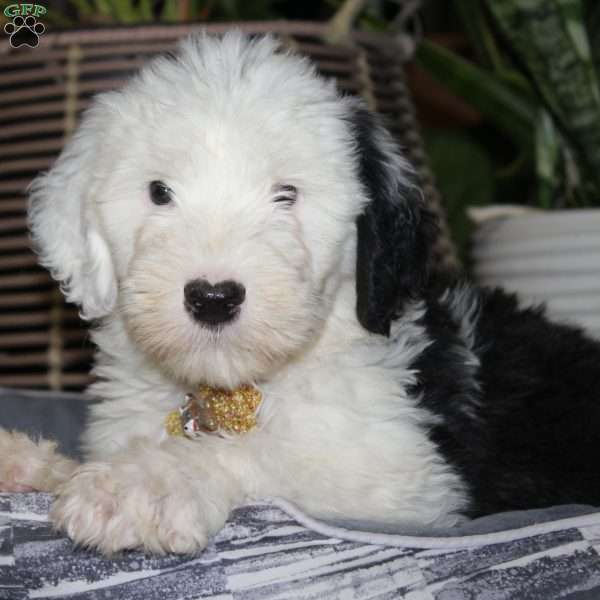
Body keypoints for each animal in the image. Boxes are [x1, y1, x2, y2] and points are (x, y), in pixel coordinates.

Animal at [1, 30, 600, 552]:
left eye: (287, 194)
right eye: (159, 192)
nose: (213, 298)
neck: (231, 391)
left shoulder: (403, 479)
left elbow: (267, 458)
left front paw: (145, 485)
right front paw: (28, 466)